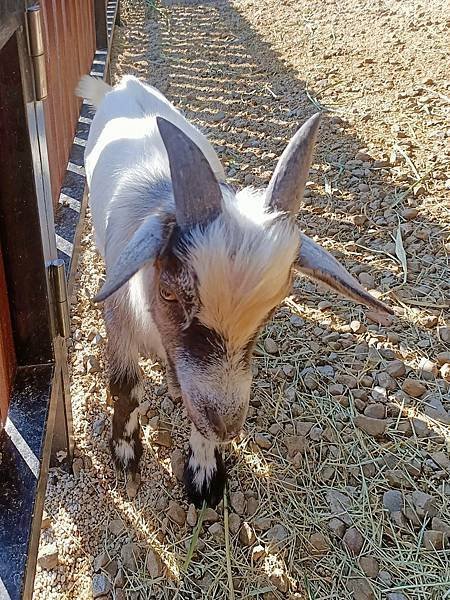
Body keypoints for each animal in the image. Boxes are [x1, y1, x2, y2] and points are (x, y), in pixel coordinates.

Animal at [75, 74, 392, 506]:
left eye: (274, 307)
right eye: (169, 294)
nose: (226, 426)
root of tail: (123, 85)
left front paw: (205, 472)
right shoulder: (119, 312)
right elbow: (125, 385)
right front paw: (126, 455)